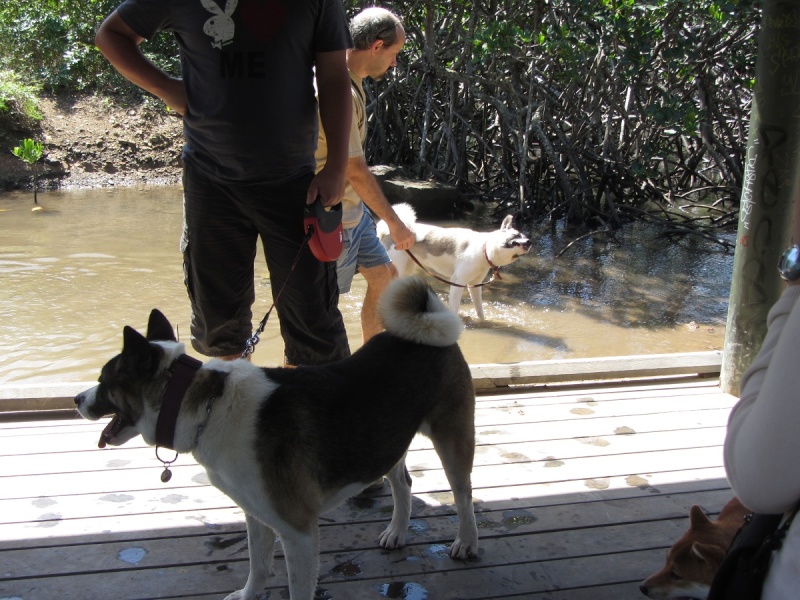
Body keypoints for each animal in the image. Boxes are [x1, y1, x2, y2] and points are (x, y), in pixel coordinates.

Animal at [75, 276, 478, 600]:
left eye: (103, 381)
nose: (78, 399)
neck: (209, 408)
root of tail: (427, 329)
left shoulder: (298, 532)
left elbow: (296, 587)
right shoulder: (256, 514)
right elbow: (258, 565)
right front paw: (248, 595)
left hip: (452, 442)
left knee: (463, 494)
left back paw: (466, 541)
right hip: (385, 441)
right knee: (402, 483)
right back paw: (397, 531)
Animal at [380, 204, 536, 322]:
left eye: (523, 235)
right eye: (516, 236)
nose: (529, 241)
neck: (484, 248)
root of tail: (386, 232)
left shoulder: (474, 285)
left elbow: (479, 309)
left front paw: (482, 321)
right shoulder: (458, 282)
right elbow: (454, 307)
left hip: (407, 269)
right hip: (397, 268)